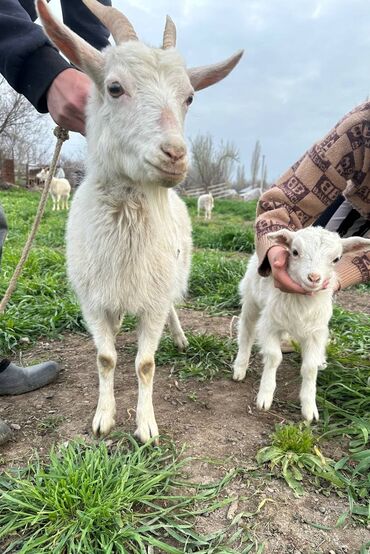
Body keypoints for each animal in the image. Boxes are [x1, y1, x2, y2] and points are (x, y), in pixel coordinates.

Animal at [38, 0, 243, 442]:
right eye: (115, 88)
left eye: (189, 97)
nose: (176, 155)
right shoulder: (94, 299)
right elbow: (106, 357)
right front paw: (104, 417)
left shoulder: (153, 297)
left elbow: (145, 364)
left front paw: (146, 425)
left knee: (173, 309)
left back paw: (179, 338)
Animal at [234, 226, 370, 420]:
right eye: (295, 252)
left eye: (336, 259)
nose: (314, 277)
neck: (303, 301)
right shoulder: (270, 325)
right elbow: (274, 357)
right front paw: (265, 396)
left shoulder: (316, 332)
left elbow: (310, 368)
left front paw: (309, 408)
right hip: (251, 300)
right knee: (246, 330)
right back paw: (240, 367)